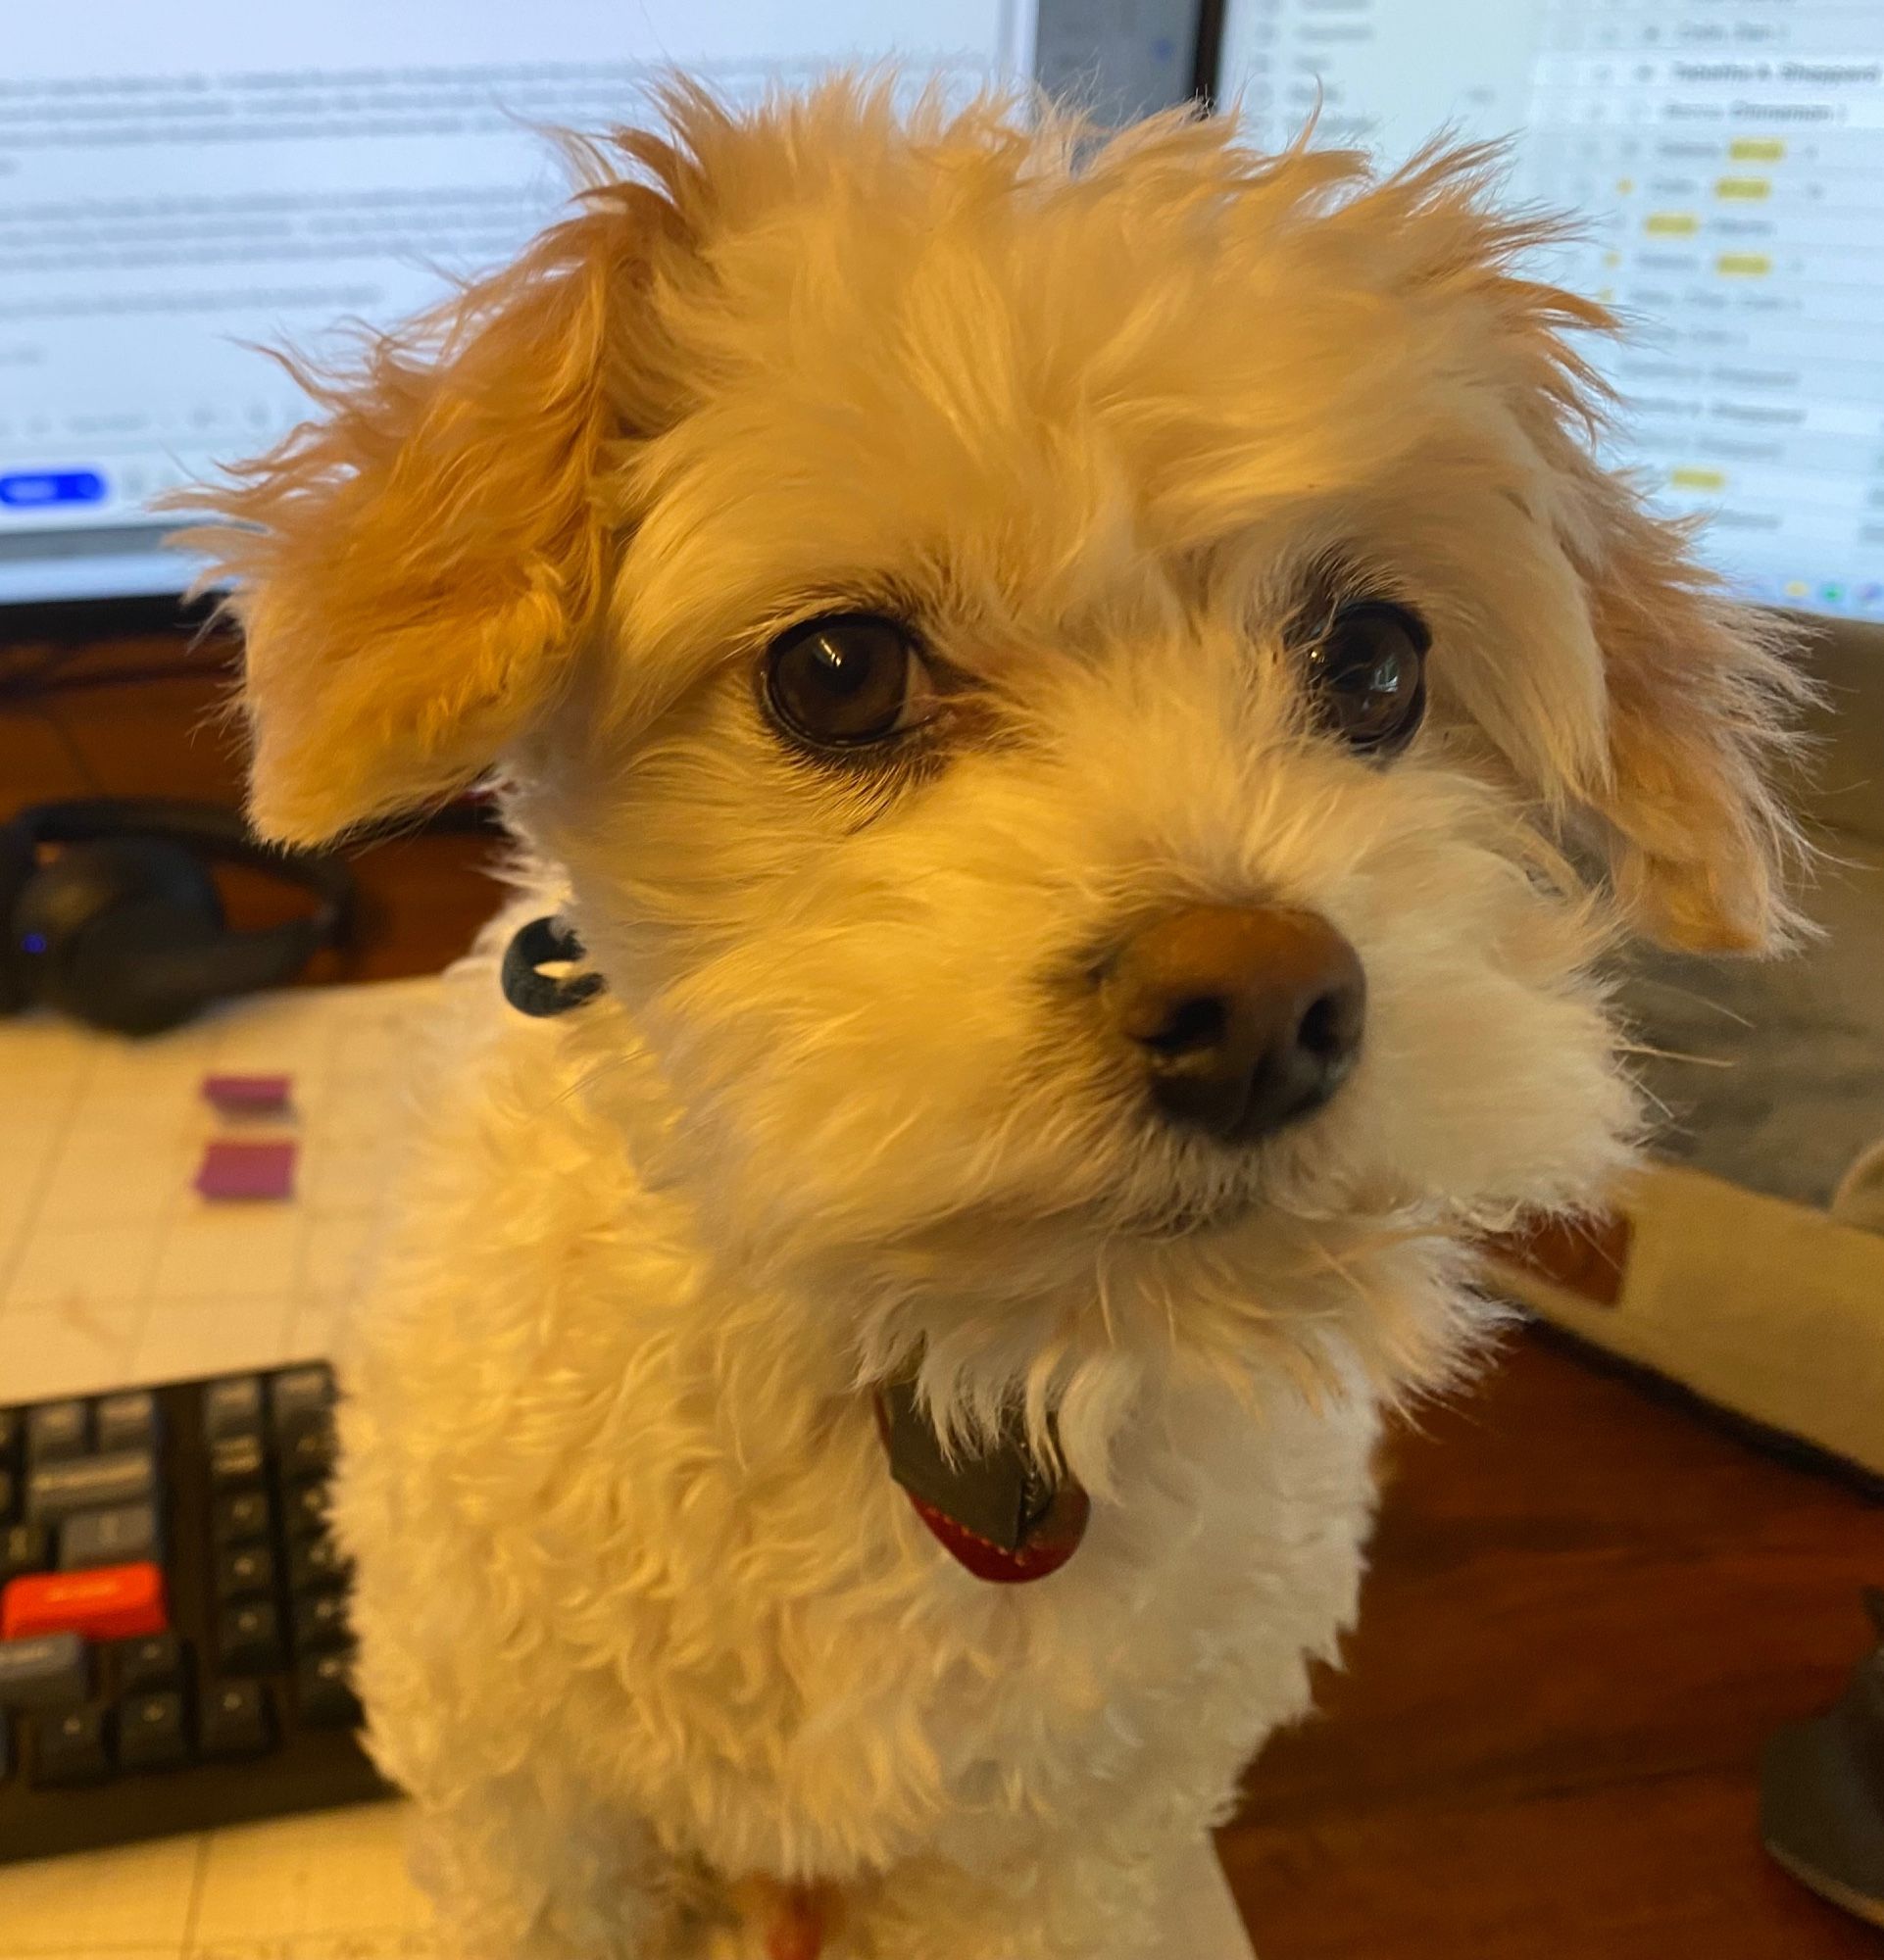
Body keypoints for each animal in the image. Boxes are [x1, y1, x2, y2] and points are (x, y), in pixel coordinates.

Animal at [191, 76, 1796, 1960]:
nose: (1258, 1009)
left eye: (1377, 664)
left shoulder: (1057, 1844)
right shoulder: (534, 1802)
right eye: (837, 672)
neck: (956, 1358)